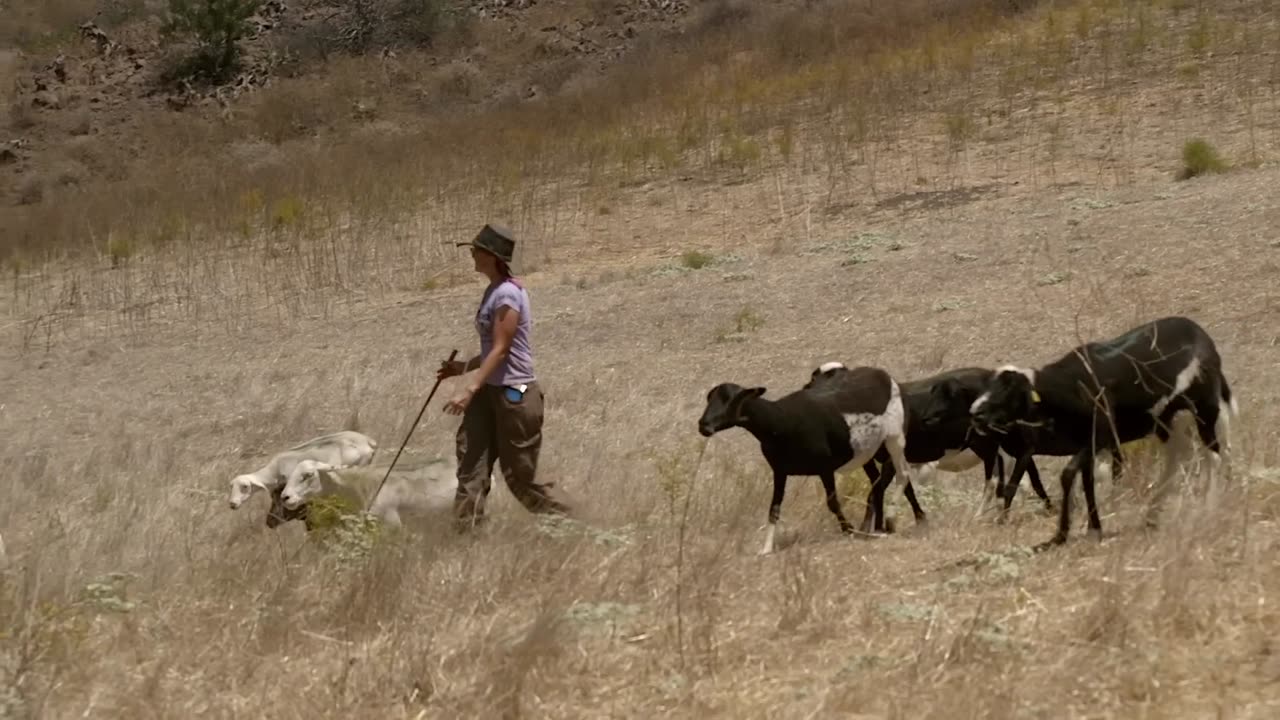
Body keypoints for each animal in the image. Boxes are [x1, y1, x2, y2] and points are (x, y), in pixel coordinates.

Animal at [696, 361, 916, 550]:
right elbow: (774, 509)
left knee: (902, 473)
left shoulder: (825, 468)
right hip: (868, 451)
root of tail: (881, 373)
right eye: (709, 399)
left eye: (733, 400)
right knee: (878, 481)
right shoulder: (780, 471)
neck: (780, 421)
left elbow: (832, 503)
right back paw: (877, 526)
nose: (703, 426)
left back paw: (889, 522)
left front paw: (849, 530)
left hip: (895, 437)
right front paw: (766, 549)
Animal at [967, 312, 1239, 543]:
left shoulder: (1100, 435)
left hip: (1204, 406)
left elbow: (1069, 475)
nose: (975, 414)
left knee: (1212, 456)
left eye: (1008, 390)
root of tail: (1201, 335)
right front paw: (1093, 529)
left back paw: (1208, 505)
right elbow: (1086, 481)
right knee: (1177, 458)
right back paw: (1153, 514)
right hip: (1165, 420)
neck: (1070, 386)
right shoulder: (1088, 442)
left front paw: (1062, 535)